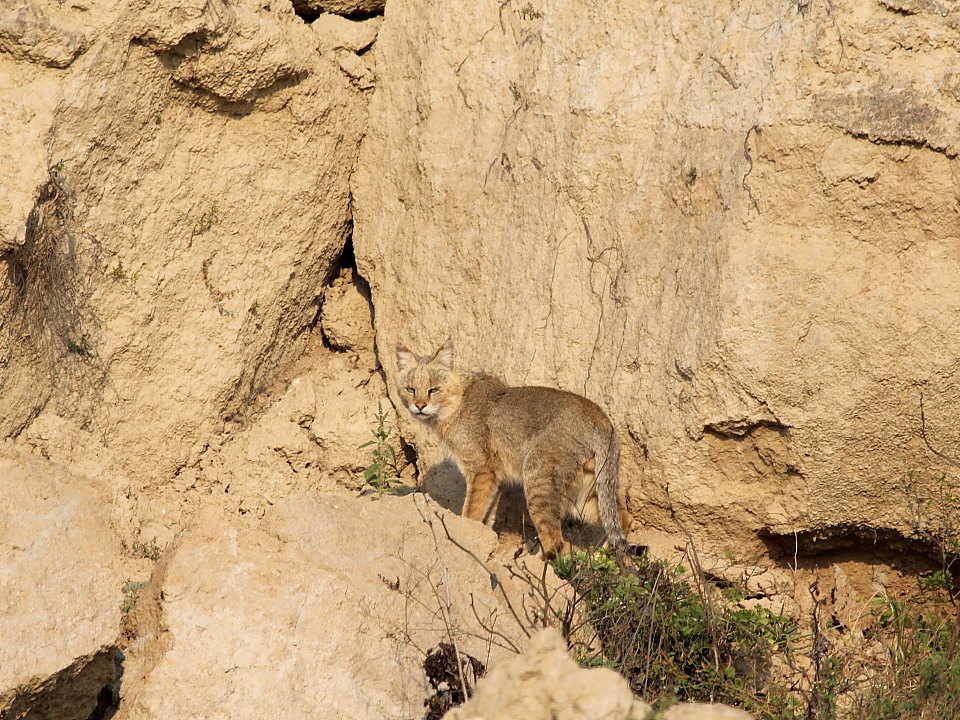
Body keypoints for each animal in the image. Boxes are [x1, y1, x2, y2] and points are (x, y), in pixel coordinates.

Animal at [394, 340, 632, 560]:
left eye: (434, 390)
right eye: (410, 389)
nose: (420, 405)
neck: (458, 403)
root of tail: (601, 418)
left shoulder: (481, 470)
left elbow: (471, 510)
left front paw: (464, 535)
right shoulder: (494, 479)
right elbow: (486, 515)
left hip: (538, 479)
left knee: (557, 542)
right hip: (586, 494)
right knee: (622, 519)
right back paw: (601, 558)